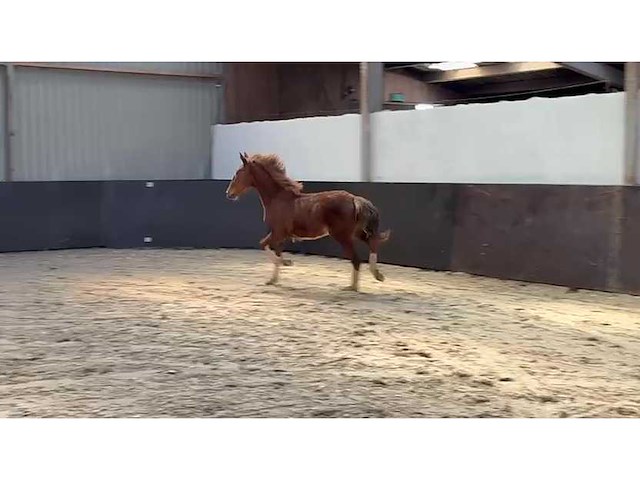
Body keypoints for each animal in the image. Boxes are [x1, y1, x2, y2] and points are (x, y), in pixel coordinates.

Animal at [225, 152, 390, 291]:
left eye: (238, 172)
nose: (228, 193)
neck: (277, 198)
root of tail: (354, 199)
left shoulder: (278, 233)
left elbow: (263, 245)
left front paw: (286, 263)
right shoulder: (279, 236)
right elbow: (276, 252)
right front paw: (273, 279)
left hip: (342, 236)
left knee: (356, 259)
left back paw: (352, 287)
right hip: (355, 232)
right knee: (372, 242)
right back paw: (377, 275)